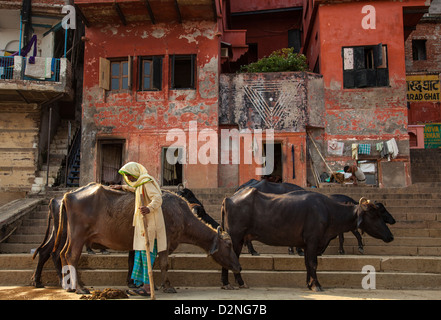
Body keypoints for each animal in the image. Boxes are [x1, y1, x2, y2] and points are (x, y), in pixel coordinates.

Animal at [55, 184, 242, 294]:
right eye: (228, 245)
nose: (238, 266)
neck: (181, 214)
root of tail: (69, 195)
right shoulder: (166, 242)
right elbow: (163, 264)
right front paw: (167, 286)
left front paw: (149, 285)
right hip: (79, 235)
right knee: (71, 256)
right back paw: (79, 287)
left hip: (72, 235)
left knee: (63, 253)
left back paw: (67, 285)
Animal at [220, 189, 392, 292]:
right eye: (374, 214)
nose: (390, 236)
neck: (329, 211)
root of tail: (228, 199)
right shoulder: (313, 241)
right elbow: (313, 263)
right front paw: (317, 285)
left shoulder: (306, 245)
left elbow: (307, 264)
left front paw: (309, 284)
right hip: (235, 237)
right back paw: (227, 283)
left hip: (239, 239)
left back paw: (238, 283)